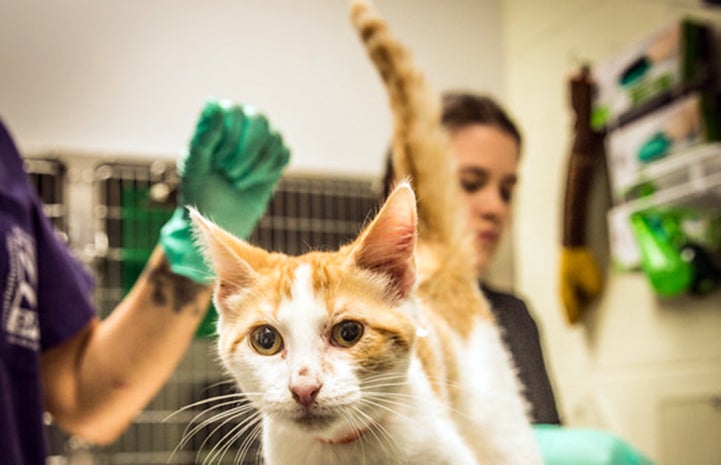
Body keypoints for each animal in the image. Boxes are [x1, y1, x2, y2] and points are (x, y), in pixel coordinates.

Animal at [190, 0, 540, 464]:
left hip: (495, 413)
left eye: (349, 333)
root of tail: (434, 249)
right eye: (265, 339)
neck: (345, 450)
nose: (304, 387)